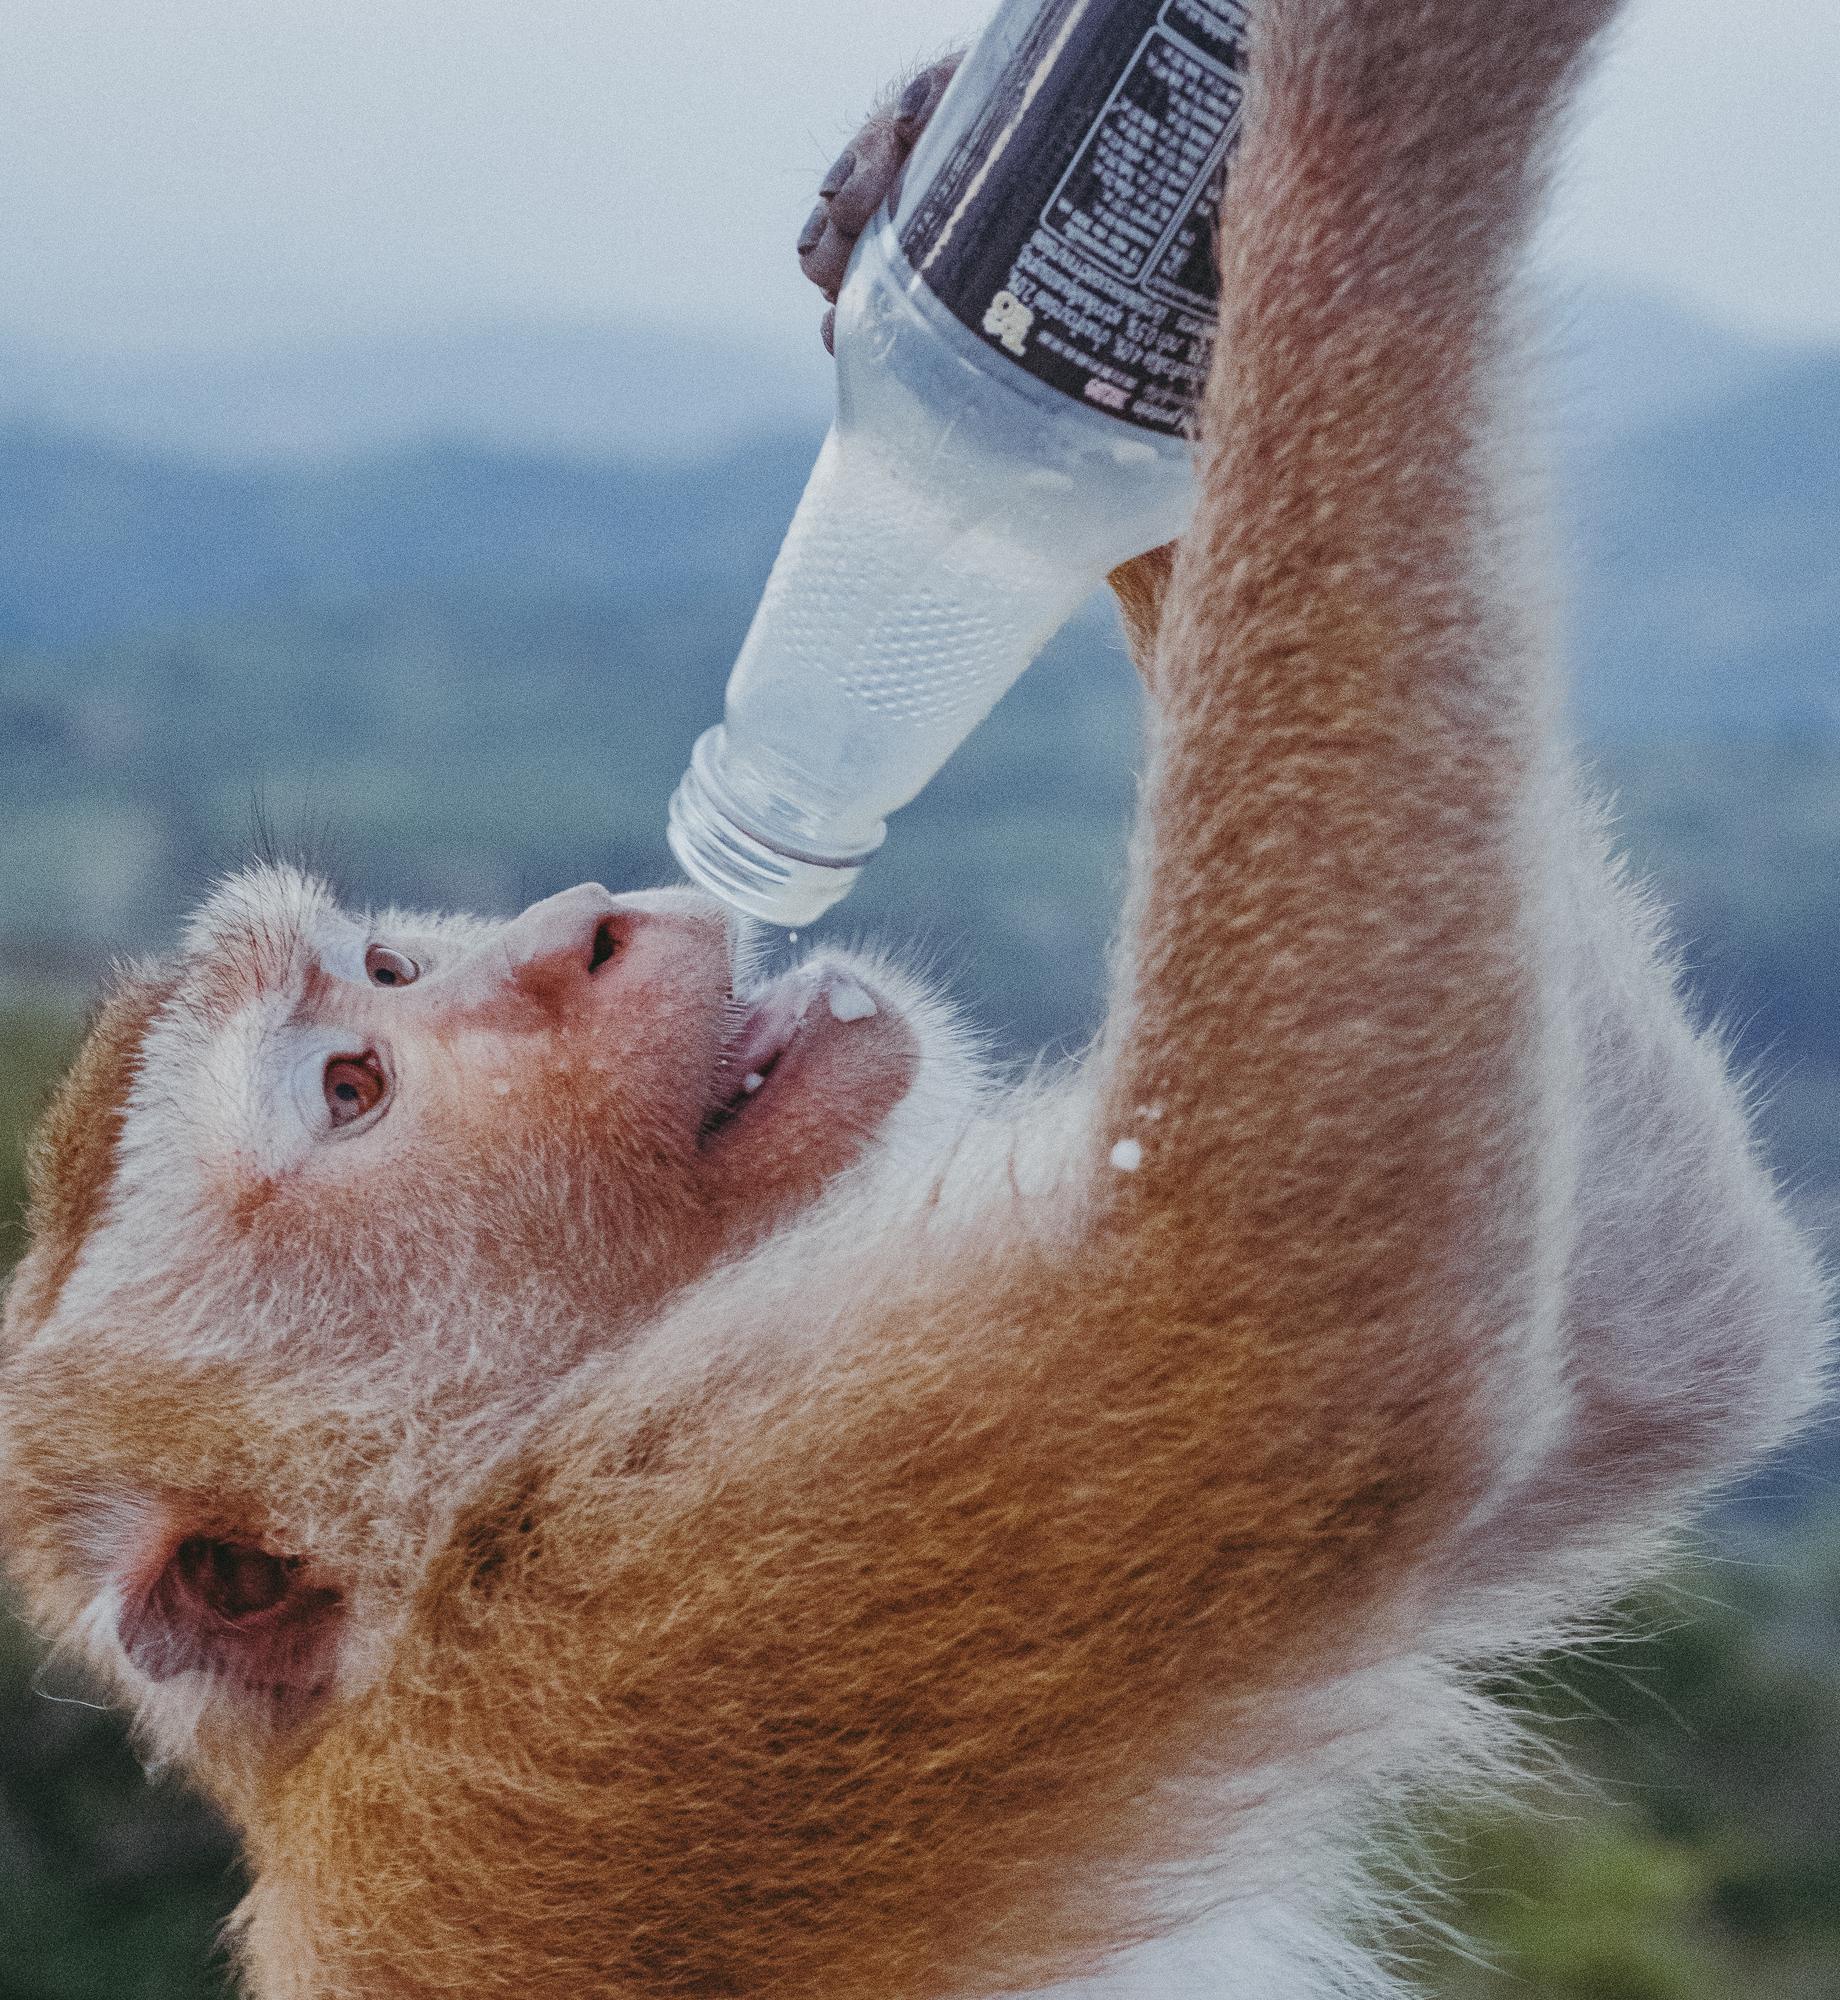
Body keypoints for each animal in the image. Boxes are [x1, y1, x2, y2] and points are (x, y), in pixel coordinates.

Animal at [0, 1, 1829, 1996]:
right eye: (352, 1088)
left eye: (390, 972)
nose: (583, 931)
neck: (450, 1554)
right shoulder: (645, 1643)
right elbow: (1288, 1313)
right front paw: (1358, 103)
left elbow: (1653, 1342)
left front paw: (938, 201)